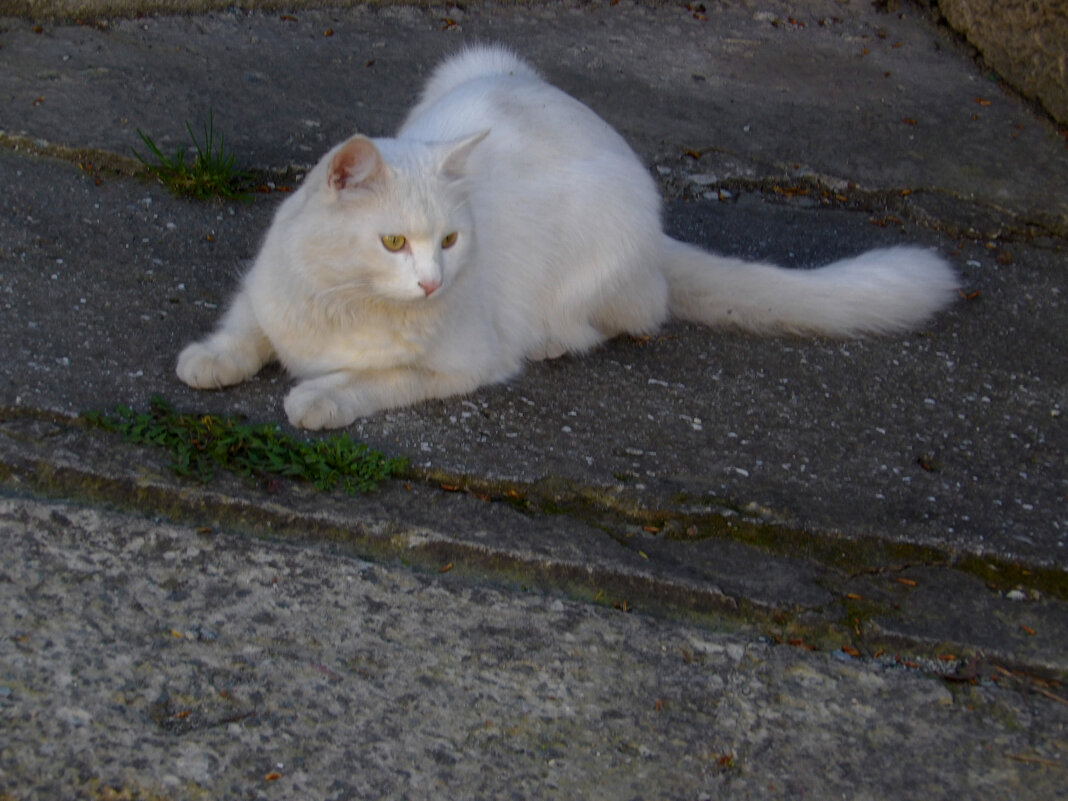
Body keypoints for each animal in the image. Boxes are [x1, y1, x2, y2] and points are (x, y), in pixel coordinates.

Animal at [175, 43, 961, 433]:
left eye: (451, 241)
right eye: (394, 243)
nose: (432, 282)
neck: (346, 302)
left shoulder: (467, 363)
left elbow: (379, 380)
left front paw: (320, 398)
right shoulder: (266, 291)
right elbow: (246, 328)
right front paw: (211, 360)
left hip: (604, 242)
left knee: (626, 317)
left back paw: (556, 339)